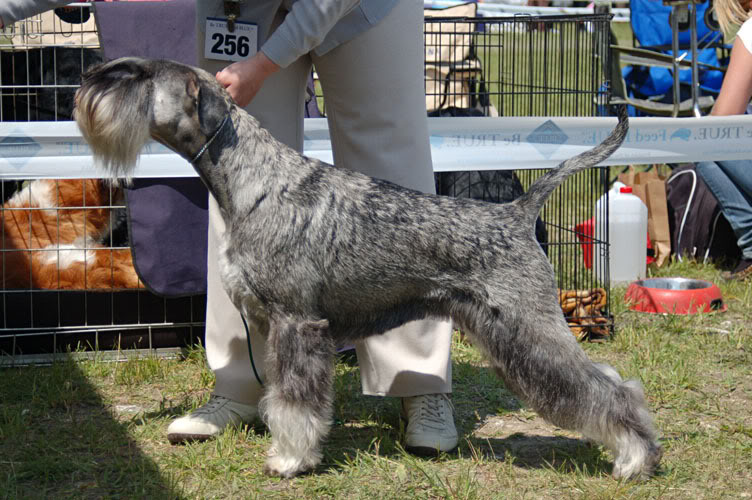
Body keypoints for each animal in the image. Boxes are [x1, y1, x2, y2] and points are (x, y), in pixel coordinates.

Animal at [76, 57, 660, 480]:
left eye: (143, 76)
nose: (85, 83)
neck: (253, 181)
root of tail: (516, 212)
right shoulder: (272, 325)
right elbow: (276, 395)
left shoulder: (298, 324)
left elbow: (295, 404)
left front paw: (290, 459)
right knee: (608, 379)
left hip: (528, 327)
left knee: (609, 388)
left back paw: (634, 457)